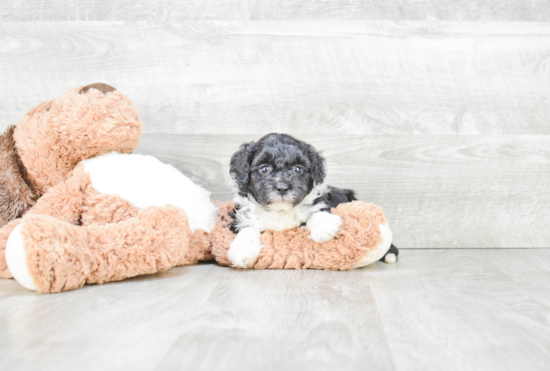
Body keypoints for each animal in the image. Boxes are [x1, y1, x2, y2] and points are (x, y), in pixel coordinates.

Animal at [226, 134, 398, 268]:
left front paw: (324, 226)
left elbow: (315, 211)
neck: (280, 210)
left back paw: (390, 254)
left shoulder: (320, 201)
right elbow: (247, 227)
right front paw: (242, 249)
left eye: (298, 169)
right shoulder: (239, 215)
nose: (282, 188)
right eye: (264, 169)